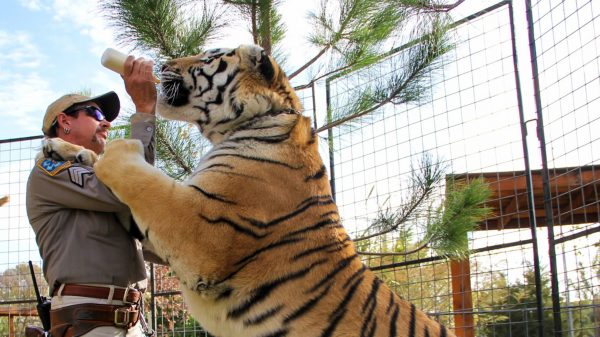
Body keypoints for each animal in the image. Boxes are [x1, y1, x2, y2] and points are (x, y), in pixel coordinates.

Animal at [50, 44, 454, 336]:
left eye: (207, 57)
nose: (163, 63)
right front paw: (62, 147)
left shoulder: (199, 228)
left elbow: (142, 177)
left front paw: (117, 148)